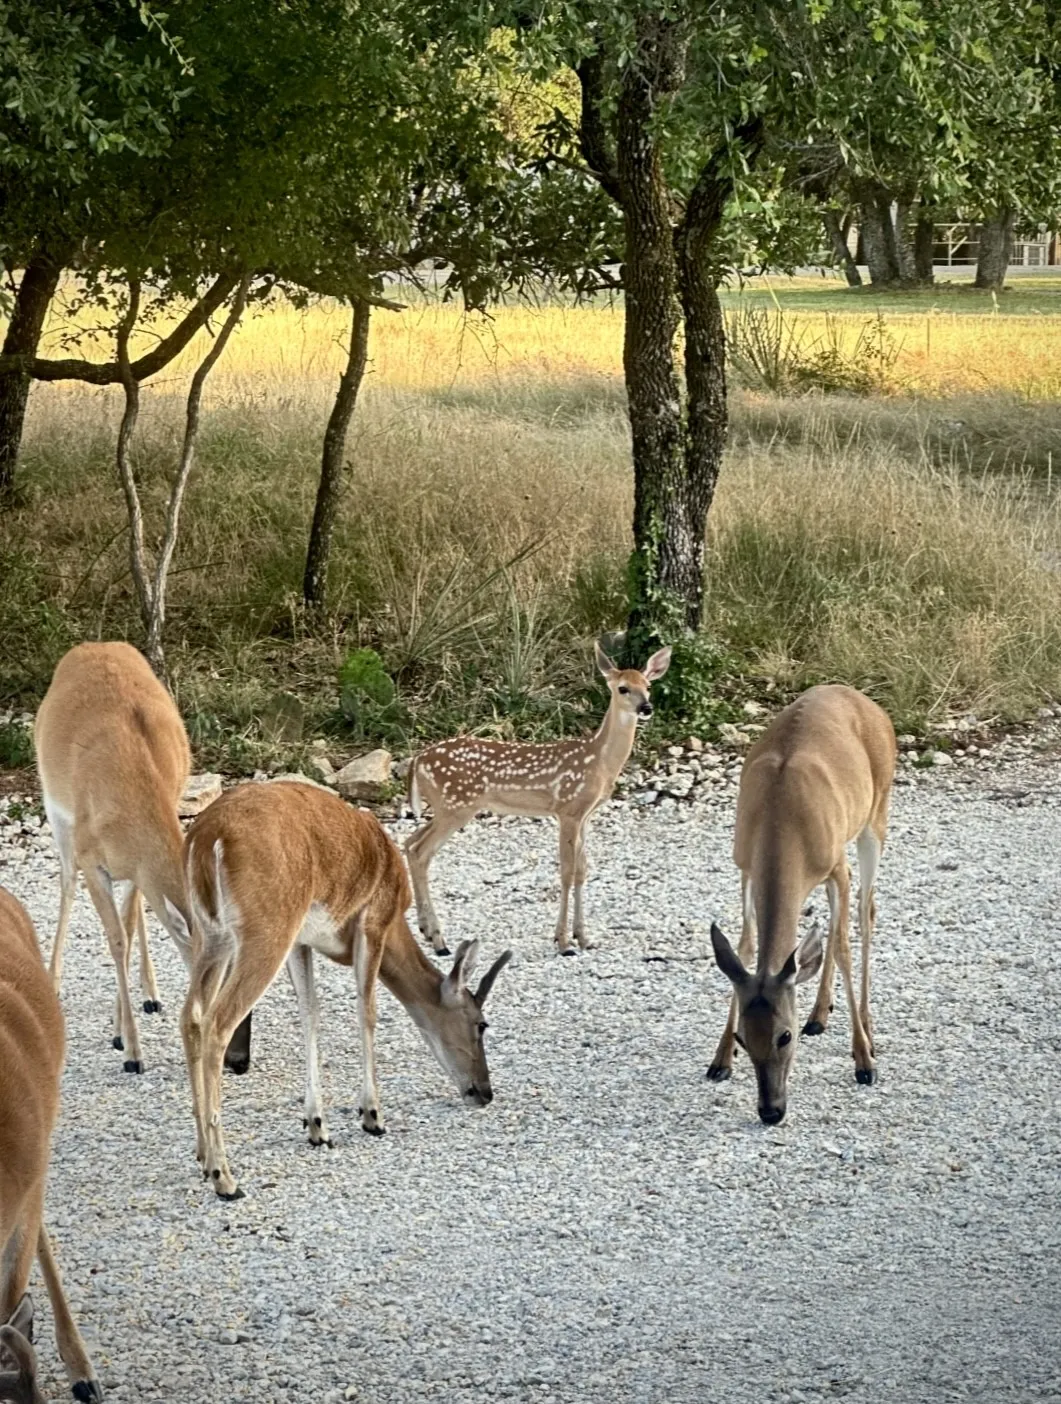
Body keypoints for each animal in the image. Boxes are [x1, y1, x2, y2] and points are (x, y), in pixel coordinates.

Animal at [34, 642, 251, 1076]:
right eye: (217, 981)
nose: (239, 1062)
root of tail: (94, 645)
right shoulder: (90, 857)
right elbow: (117, 938)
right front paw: (131, 1051)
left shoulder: (137, 866)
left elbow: (131, 924)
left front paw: (120, 1028)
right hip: (55, 809)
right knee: (66, 883)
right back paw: (53, 981)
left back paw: (150, 993)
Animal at [180, 780, 513, 1200]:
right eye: (481, 1024)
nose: (484, 1092)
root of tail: (207, 838)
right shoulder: (373, 920)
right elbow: (367, 1012)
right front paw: (372, 1116)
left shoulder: (301, 941)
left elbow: (310, 1014)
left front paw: (316, 1126)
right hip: (266, 927)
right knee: (217, 1022)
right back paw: (224, 1177)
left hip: (210, 934)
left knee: (190, 1015)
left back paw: (201, 1154)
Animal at [406, 642, 672, 956]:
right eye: (622, 688)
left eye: (648, 686)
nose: (646, 708)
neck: (600, 761)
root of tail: (418, 760)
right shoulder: (568, 809)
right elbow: (566, 871)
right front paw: (564, 942)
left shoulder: (586, 815)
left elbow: (582, 870)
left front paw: (584, 938)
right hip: (456, 805)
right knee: (421, 852)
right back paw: (439, 941)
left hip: (444, 807)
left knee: (409, 843)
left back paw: (427, 931)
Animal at [707, 684, 896, 1125]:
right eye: (743, 1035)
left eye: (784, 1035)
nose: (770, 1111)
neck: (782, 819)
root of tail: (864, 700)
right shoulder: (745, 864)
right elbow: (745, 947)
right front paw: (720, 1060)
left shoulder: (836, 866)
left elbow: (842, 945)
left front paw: (863, 1061)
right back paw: (819, 1013)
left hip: (875, 815)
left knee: (866, 912)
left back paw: (867, 1028)